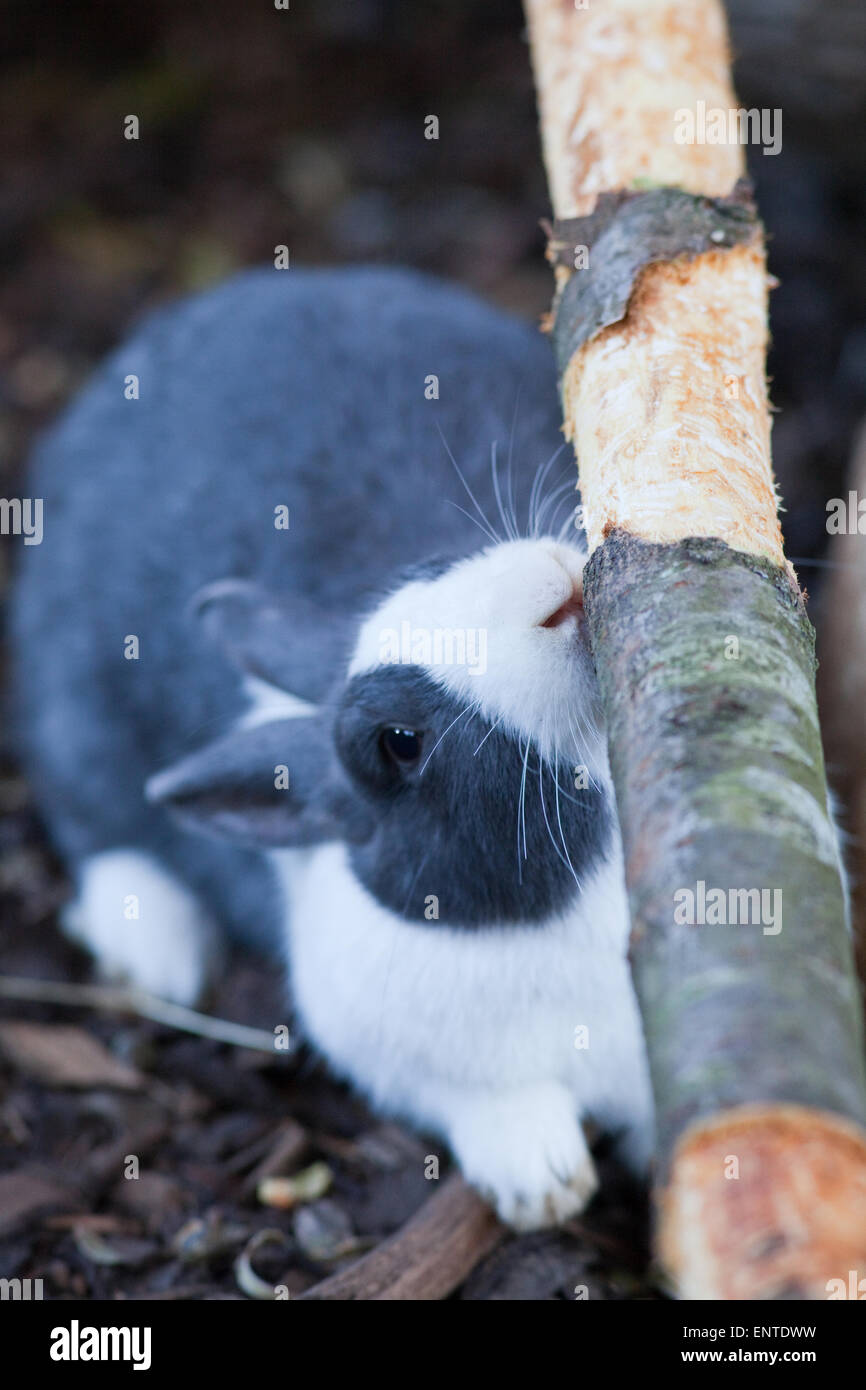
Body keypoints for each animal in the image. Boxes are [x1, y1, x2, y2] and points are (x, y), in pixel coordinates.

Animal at [10, 265, 654, 1229]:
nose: (551, 591)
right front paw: (543, 1183)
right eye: (398, 743)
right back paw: (159, 950)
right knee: (96, 820)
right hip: (76, 715)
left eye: (431, 567)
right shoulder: (398, 1055)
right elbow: (492, 1105)